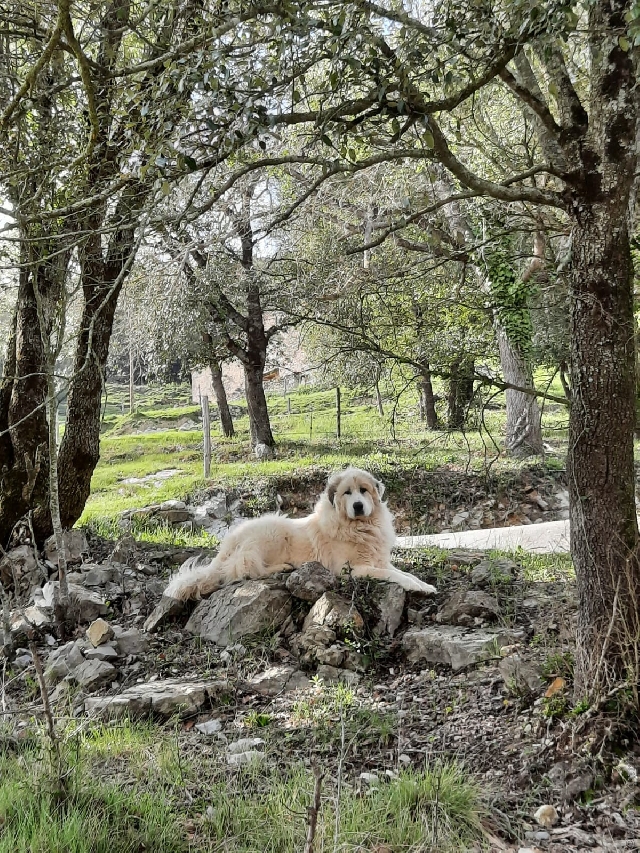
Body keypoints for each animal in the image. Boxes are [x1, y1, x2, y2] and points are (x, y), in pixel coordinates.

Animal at [162, 466, 438, 600]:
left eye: (363, 490)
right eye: (347, 493)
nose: (358, 506)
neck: (359, 527)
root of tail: (228, 541)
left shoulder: (379, 560)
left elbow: (403, 572)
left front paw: (424, 585)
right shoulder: (352, 569)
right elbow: (392, 575)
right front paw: (415, 586)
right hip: (271, 533)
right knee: (245, 570)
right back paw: (282, 567)